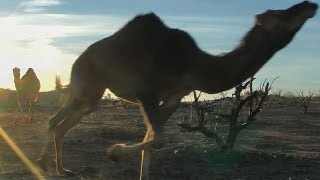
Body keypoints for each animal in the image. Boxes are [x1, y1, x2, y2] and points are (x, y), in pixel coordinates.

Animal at [37, 1, 318, 180]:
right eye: (283, 13)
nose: (309, 5)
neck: (194, 65)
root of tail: (79, 58)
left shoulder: (174, 96)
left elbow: (152, 139)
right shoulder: (146, 92)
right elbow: (158, 139)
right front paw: (114, 151)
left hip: (93, 96)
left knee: (63, 124)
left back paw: (60, 170)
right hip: (86, 83)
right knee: (53, 121)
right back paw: (42, 165)